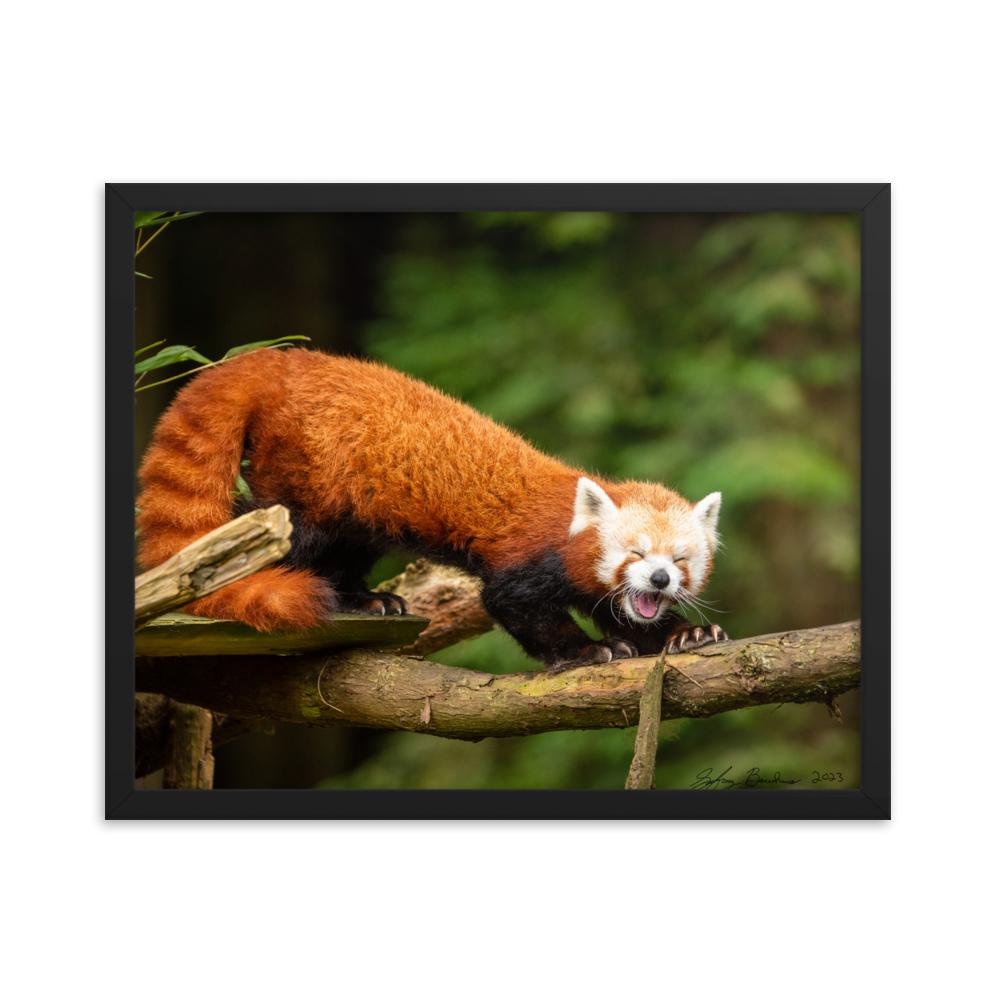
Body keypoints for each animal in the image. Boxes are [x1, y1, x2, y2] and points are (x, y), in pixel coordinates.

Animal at [139, 350, 728, 672]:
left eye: (679, 561)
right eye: (636, 553)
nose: (658, 579)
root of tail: (286, 360)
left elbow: (621, 610)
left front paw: (683, 635)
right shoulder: (529, 558)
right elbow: (512, 602)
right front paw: (586, 651)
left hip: (354, 506)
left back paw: (364, 600)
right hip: (307, 478)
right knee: (282, 529)